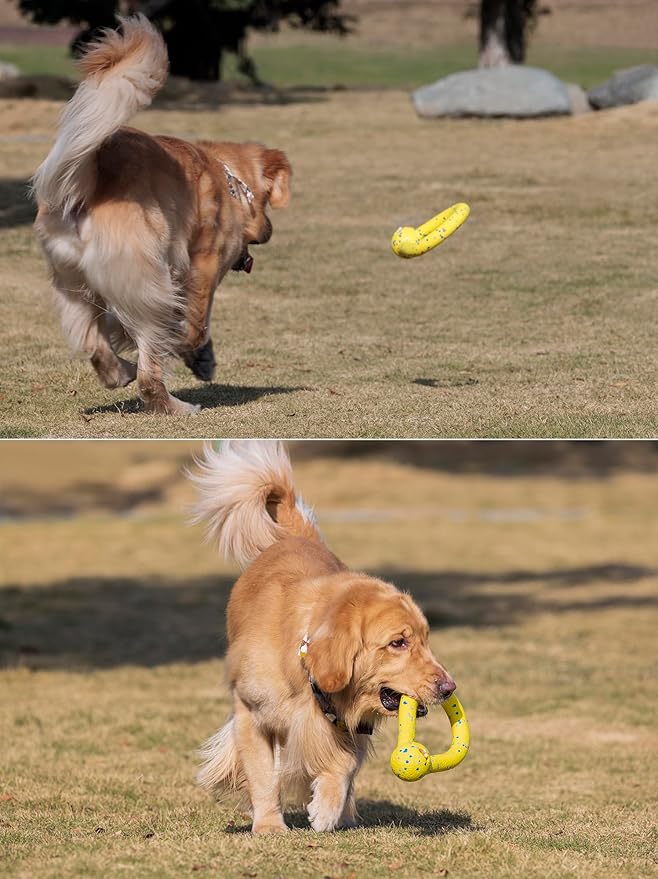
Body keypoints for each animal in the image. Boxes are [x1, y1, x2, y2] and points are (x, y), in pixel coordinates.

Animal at [32, 16, 290, 416]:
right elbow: (196, 322)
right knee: (149, 373)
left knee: (95, 345)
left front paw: (200, 358)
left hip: (72, 280)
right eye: (264, 203)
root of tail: (93, 174)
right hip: (148, 282)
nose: (268, 229)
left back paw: (118, 370)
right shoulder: (203, 266)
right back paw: (176, 405)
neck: (227, 176)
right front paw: (191, 348)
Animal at [190, 444, 456, 836]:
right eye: (398, 643)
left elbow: (343, 765)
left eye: (425, 639)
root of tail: (294, 537)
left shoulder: (350, 726)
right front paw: (269, 825)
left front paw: (328, 809)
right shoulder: (250, 715)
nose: (449, 687)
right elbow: (264, 776)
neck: (305, 662)